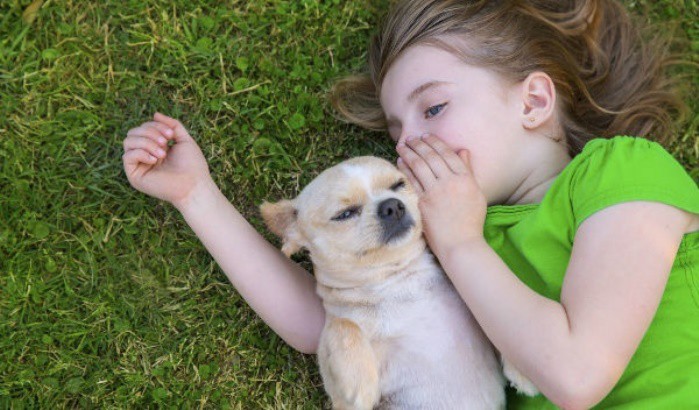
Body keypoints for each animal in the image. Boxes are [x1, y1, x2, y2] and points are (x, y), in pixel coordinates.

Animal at [260, 155, 532, 408]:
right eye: (344, 214)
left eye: (399, 184)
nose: (392, 205)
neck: (396, 280)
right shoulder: (341, 399)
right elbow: (342, 325)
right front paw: (359, 382)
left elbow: (498, 320)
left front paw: (521, 368)